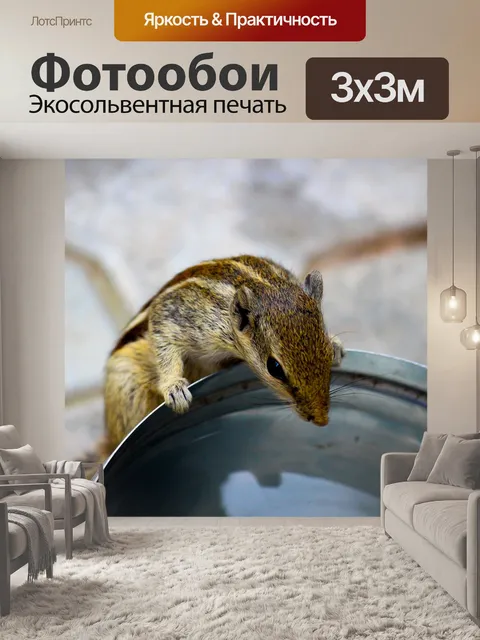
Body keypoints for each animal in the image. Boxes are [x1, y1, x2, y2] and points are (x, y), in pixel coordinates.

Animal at [99, 255, 345, 459]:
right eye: (274, 367)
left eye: (325, 350)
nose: (321, 420)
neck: (265, 285)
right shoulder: (179, 316)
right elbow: (164, 338)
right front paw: (174, 388)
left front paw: (337, 346)